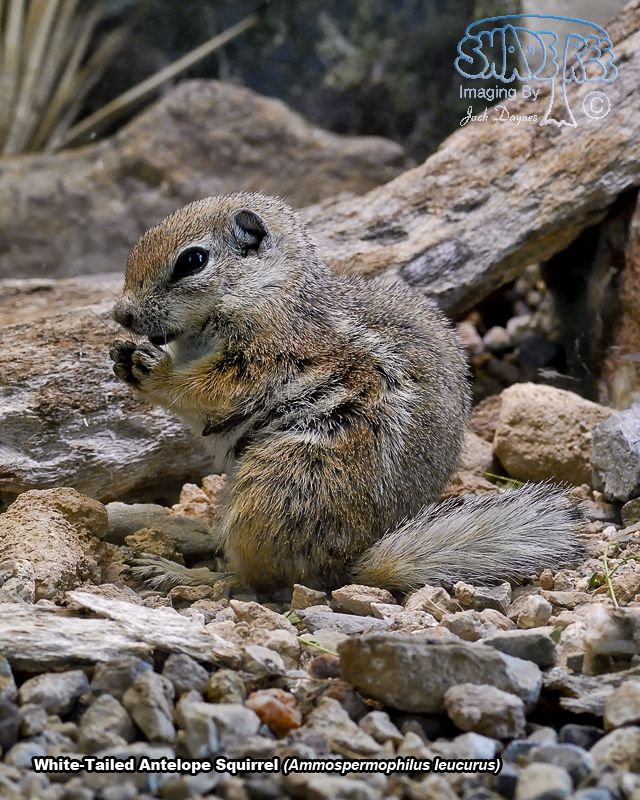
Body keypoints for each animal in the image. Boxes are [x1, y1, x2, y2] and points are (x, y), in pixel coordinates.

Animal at [110, 192, 585, 593]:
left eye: (192, 260)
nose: (121, 315)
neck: (271, 293)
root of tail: (349, 566)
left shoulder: (264, 357)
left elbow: (206, 389)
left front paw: (150, 369)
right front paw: (120, 356)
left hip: (283, 480)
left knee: (252, 578)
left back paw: (179, 572)